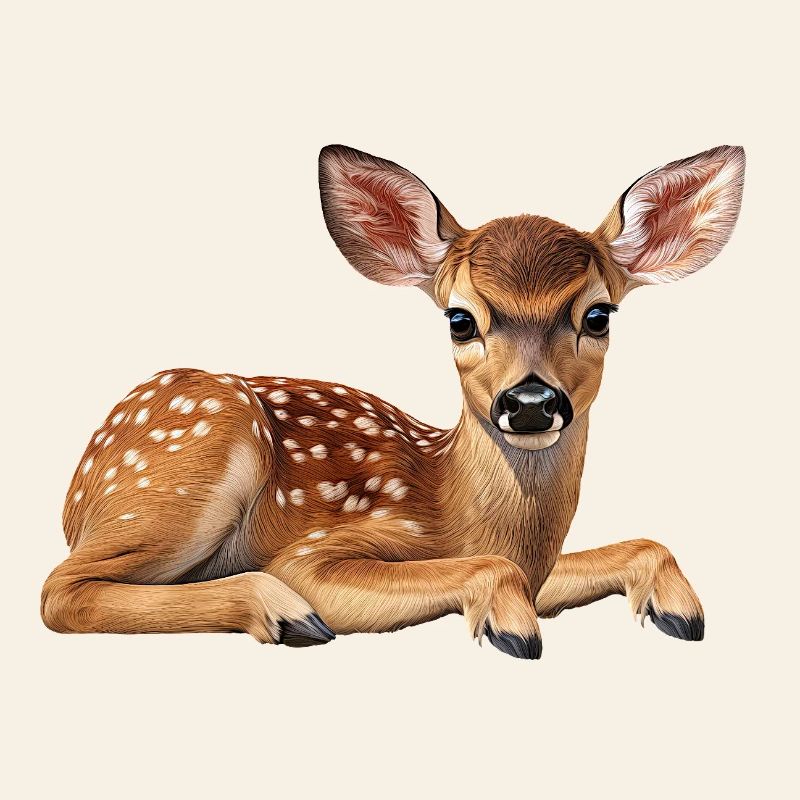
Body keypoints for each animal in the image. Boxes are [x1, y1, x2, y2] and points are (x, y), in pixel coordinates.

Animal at [41, 143, 745, 659]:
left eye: (599, 315)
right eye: (459, 320)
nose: (531, 402)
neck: (460, 508)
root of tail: (78, 489)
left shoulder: (540, 569)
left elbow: (642, 543)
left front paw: (680, 610)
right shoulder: (320, 548)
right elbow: (486, 571)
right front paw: (512, 627)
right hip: (192, 464)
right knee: (60, 590)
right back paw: (285, 613)